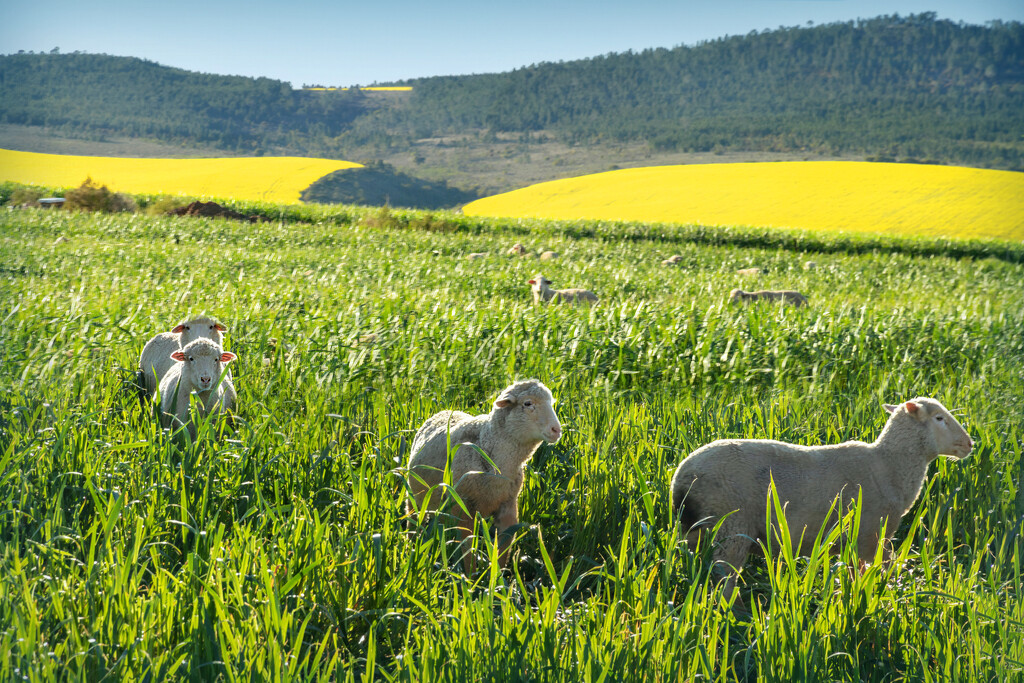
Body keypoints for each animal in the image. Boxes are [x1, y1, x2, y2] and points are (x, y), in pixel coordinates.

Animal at [405, 378, 565, 573]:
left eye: (551, 402)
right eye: (528, 403)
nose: (556, 430)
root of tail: (444, 411)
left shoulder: (508, 506)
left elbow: (503, 550)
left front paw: (498, 576)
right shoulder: (463, 508)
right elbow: (468, 550)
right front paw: (470, 577)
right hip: (415, 495)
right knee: (413, 516)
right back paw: (411, 543)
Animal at [671, 401, 974, 602]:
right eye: (939, 418)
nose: (970, 444)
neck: (889, 466)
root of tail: (681, 480)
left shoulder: (854, 543)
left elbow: (855, 577)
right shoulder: (871, 539)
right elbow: (880, 572)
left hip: (696, 531)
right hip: (730, 526)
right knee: (724, 577)